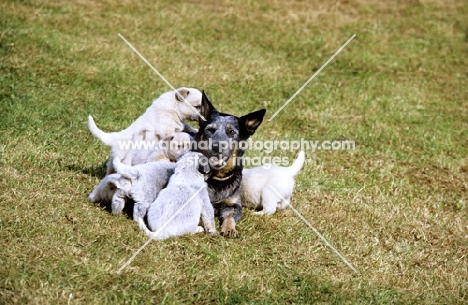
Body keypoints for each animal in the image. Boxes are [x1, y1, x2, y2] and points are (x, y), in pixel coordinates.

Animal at [195, 91, 266, 238]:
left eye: (231, 132)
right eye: (210, 130)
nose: (217, 146)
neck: (217, 178)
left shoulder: (234, 204)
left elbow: (231, 216)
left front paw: (229, 228)